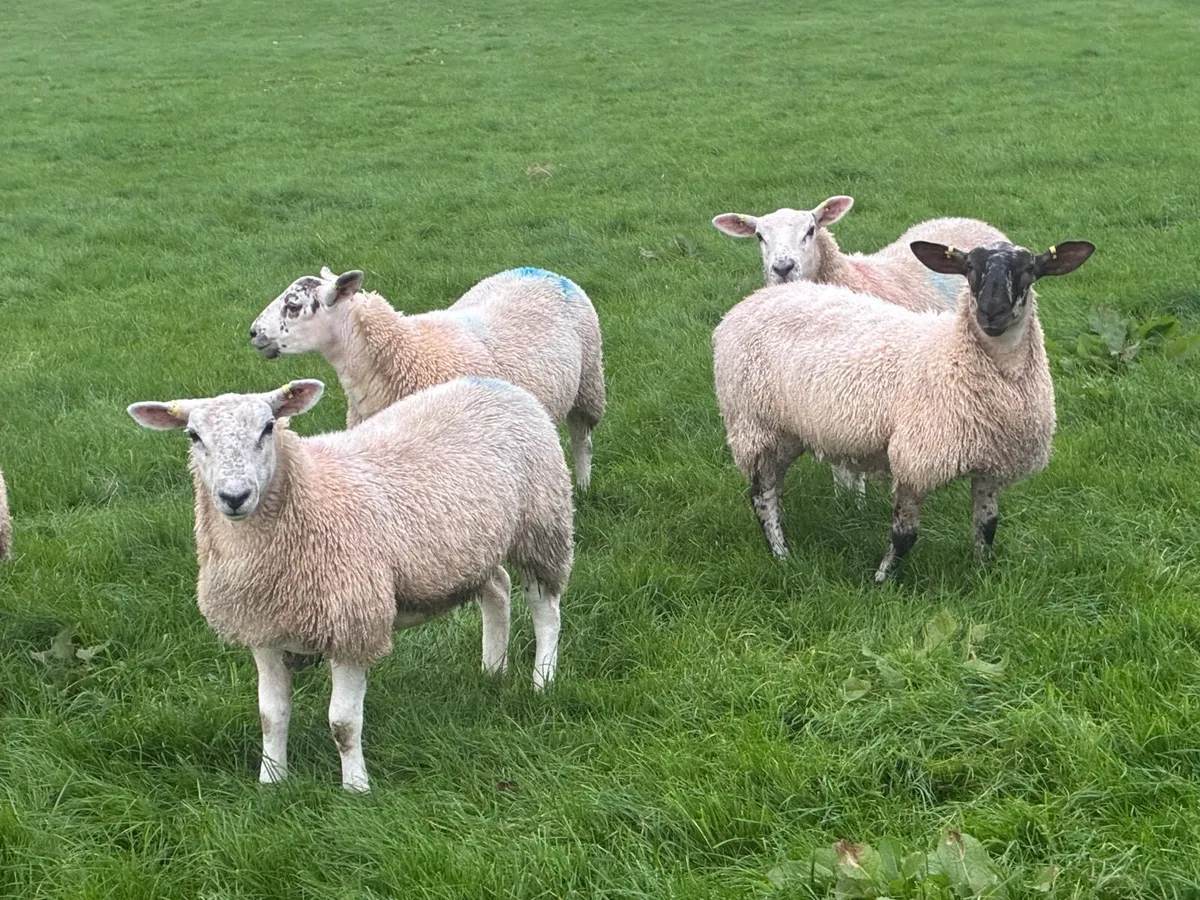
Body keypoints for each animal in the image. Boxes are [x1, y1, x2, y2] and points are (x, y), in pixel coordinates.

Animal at [127, 376, 574, 792]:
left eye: (268, 427)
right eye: (193, 435)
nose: (234, 496)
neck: (309, 494)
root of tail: (494, 384)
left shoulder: (352, 623)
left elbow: (342, 723)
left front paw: (356, 787)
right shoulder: (264, 628)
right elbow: (271, 717)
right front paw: (271, 781)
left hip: (542, 522)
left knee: (546, 609)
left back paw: (543, 679)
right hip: (472, 549)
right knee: (497, 588)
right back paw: (492, 670)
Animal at [249, 266, 606, 490]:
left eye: (293, 306)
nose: (253, 332)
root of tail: (543, 271)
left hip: (588, 383)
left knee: (582, 439)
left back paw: (583, 486)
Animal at [712, 238, 1095, 580]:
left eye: (1029, 269)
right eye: (970, 268)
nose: (991, 313)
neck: (953, 355)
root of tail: (752, 301)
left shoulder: (990, 463)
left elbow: (987, 526)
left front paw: (984, 571)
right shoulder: (914, 458)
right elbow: (904, 535)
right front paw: (882, 580)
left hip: (788, 430)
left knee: (771, 487)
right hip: (754, 423)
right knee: (762, 496)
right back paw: (781, 554)